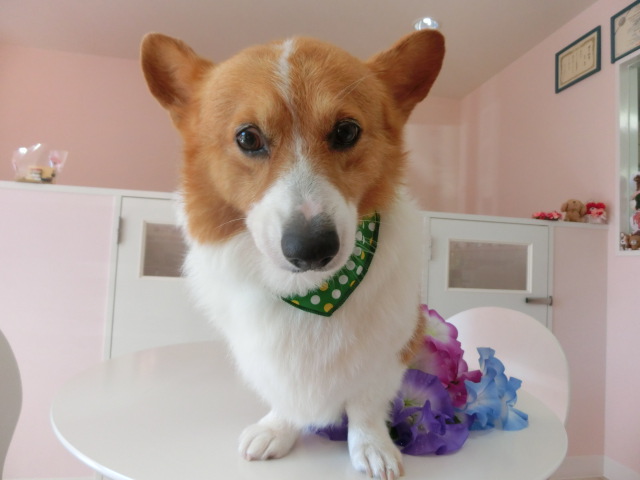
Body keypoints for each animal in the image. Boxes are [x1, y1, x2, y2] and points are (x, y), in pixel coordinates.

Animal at [141, 29, 444, 479]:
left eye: (346, 132)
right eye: (247, 138)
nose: (312, 249)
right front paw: (276, 430)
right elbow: (285, 398)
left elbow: (366, 406)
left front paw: (372, 447)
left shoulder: (390, 351)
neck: (312, 292)